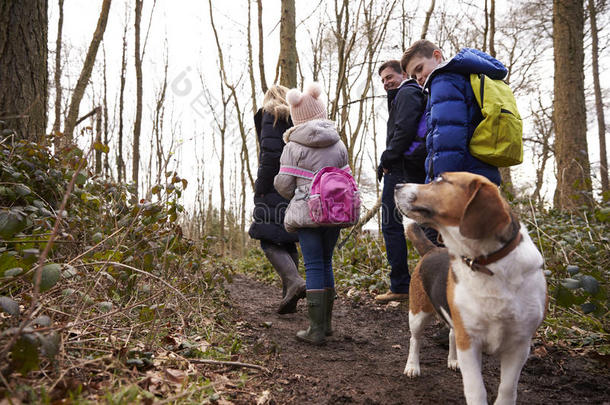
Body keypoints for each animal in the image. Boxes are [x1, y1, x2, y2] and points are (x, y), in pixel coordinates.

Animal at [394, 171, 548, 404]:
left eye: (440, 180)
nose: (396, 185)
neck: (487, 266)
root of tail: (432, 249)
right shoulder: (469, 340)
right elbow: (476, 390)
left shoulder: (519, 345)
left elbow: (507, 389)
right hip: (418, 314)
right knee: (415, 340)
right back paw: (412, 366)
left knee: (450, 334)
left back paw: (453, 360)